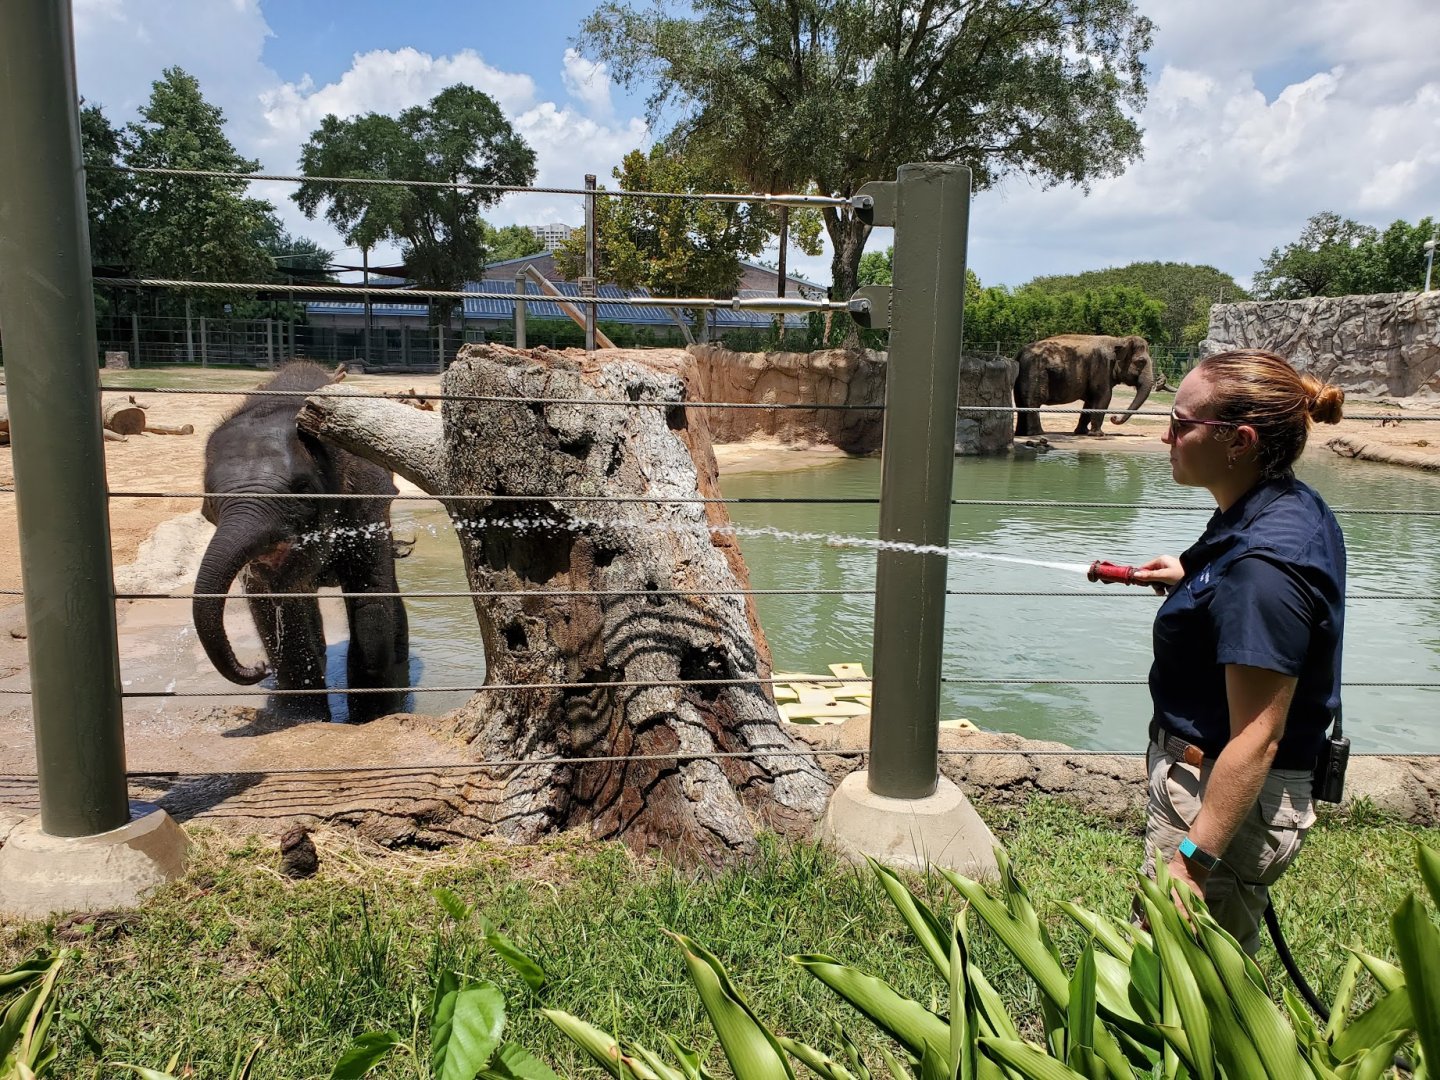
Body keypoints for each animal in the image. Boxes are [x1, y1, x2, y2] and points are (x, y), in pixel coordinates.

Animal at [192, 361, 410, 723]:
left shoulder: (366, 502)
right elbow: (275, 607)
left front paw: (369, 718)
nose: (258, 667)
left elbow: (369, 600)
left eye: (303, 488)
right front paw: (303, 718)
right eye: (210, 498)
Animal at [1013, 334, 1155, 437]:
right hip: (1035, 372)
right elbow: (1104, 397)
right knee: (1034, 401)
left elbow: (1090, 402)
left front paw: (1082, 432)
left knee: (1021, 402)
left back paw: (1021, 434)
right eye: (1141, 362)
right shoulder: (1102, 367)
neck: (1118, 340)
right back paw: (1037, 433)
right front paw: (1098, 435)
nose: (1114, 417)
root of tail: (1019, 353)